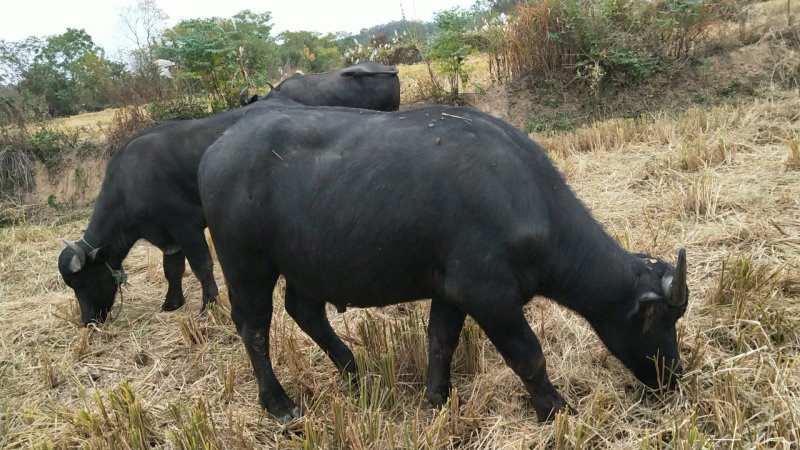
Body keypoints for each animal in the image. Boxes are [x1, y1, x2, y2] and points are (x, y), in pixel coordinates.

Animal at [198, 103, 688, 424]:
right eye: (659, 322)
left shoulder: (451, 291)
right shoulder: (488, 294)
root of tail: (215, 150)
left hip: (307, 263)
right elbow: (528, 356)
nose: (673, 376)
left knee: (305, 312)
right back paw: (278, 403)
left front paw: (436, 398)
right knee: (254, 327)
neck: (522, 197)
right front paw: (555, 409)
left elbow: (441, 341)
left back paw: (356, 375)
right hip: (247, 264)